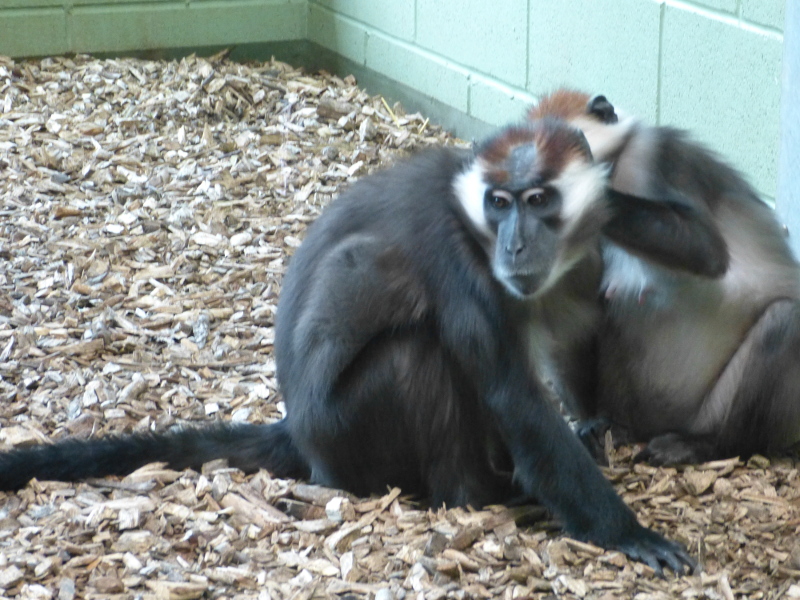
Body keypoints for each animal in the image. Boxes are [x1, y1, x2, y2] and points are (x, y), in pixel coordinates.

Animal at [0, 119, 692, 576]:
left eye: (538, 200)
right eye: (499, 204)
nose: (515, 243)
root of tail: (300, 434)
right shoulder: (458, 258)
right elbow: (513, 397)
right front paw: (628, 532)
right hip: (347, 433)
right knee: (422, 353)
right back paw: (481, 492)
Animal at [532, 90, 800, 464]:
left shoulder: (661, 154)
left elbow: (704, 248)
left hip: (709, 413)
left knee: (785, 321)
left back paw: (706, 445)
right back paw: (603, 426)